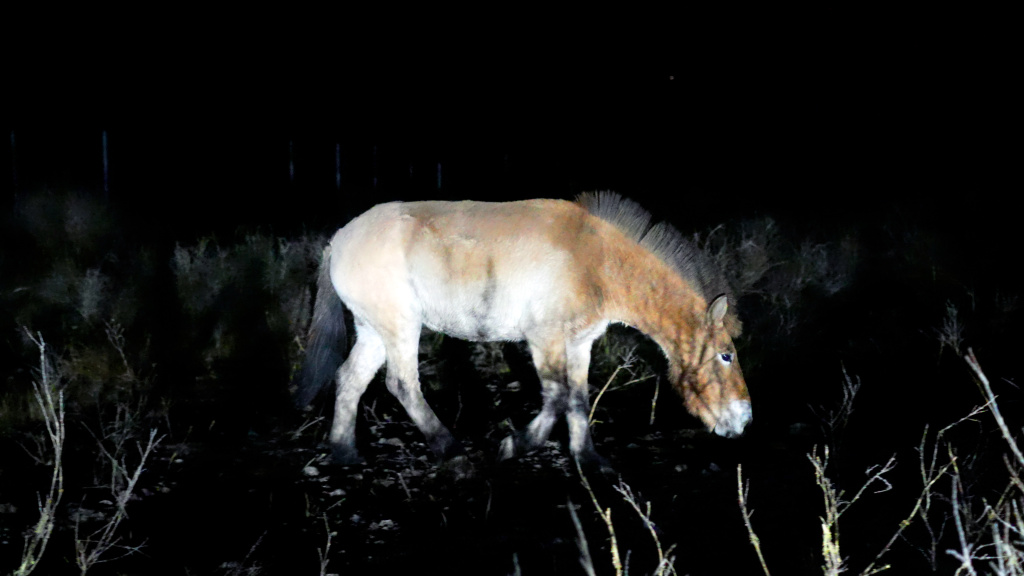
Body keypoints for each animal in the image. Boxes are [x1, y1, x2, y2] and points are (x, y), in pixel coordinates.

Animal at [293, 192, 751, 470]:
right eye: (726, 354)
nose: (744, 421)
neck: (597, 260)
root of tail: (338, 240)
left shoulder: (579, 343)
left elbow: (578, 399)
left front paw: (589, 460)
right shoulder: (543, 339)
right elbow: (557, 398)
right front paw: (514, 445)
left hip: (374, 328)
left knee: (350, 380)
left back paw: (344, 452)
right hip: (400, 325)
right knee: (401, 384)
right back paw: (450, 450)